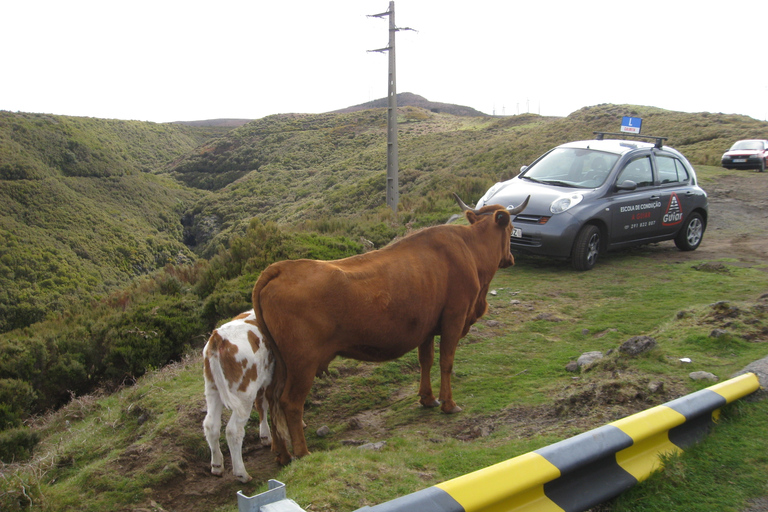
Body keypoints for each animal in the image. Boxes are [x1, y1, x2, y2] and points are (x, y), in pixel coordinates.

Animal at [202, 310, 274, 482]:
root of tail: (219, 336)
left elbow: (261, 405)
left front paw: (265, 436)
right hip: (244, 394)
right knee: (233, 430)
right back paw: (241, 473)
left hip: (212, 389)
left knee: (211, 425)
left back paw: (216, 466)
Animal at [252, 193, 528, 464]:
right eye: (510, 228)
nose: (511, 258)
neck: (470, 250)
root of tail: (281, 268)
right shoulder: (454, 318)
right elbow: (446, 362)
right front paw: (448, 404)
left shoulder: (427, 327)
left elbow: (425, 360)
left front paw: (427, 398)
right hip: (303, 363)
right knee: (290, 403)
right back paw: (302, 452)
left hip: (280, 363)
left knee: (272, 399)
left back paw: (283, 453)